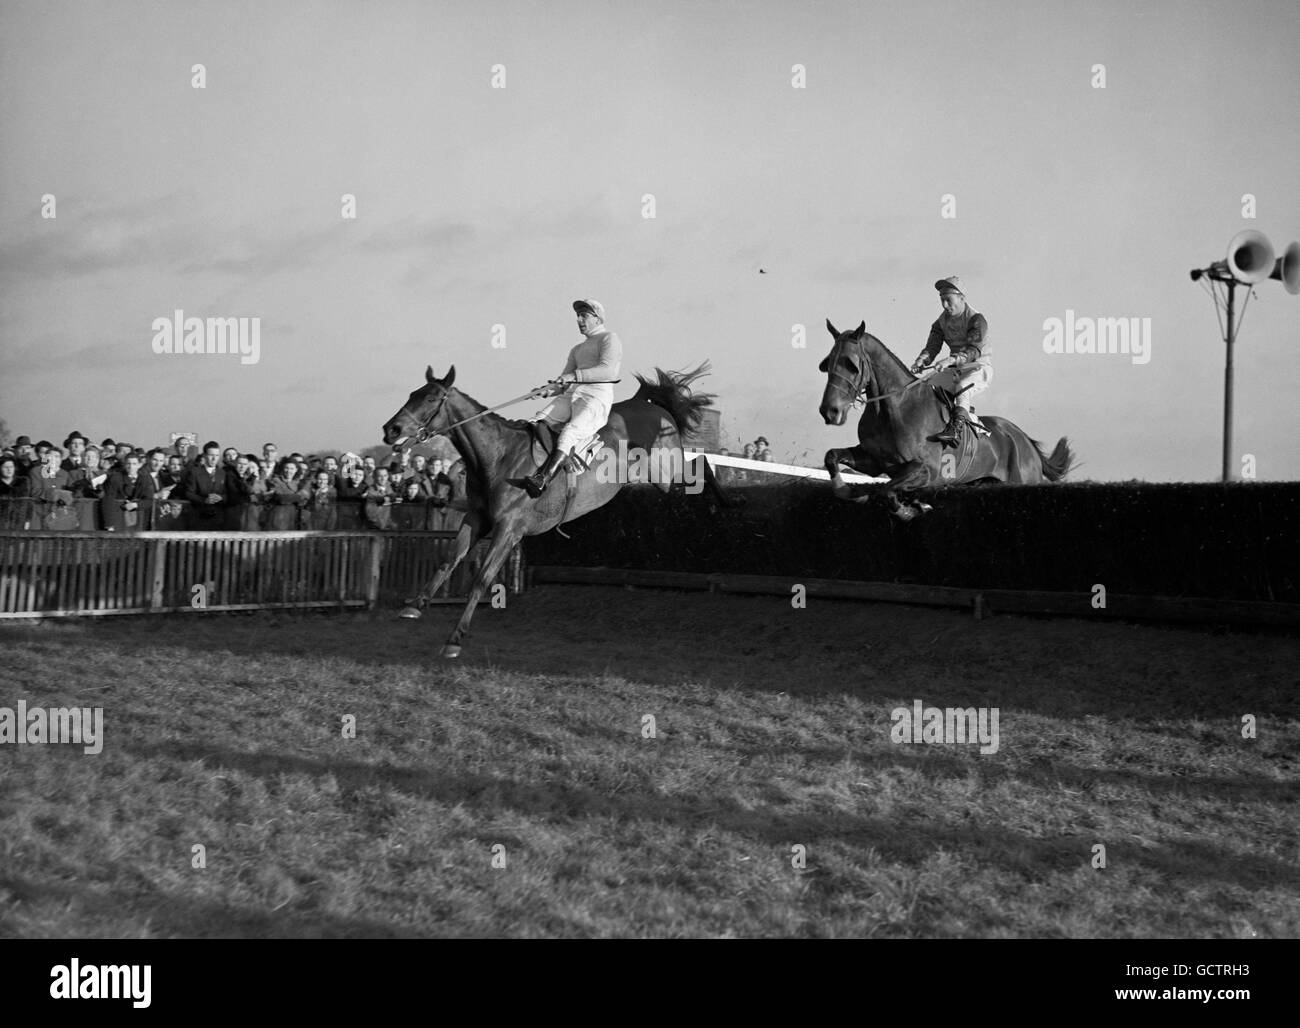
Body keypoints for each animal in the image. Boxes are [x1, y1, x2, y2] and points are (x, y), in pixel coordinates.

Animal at [379, 361, 738, 660]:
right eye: (412, 394)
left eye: (430, 398)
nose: (391, 430)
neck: (497, 456)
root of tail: (652, 406)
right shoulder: (477, 518)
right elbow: (448, 559)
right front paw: (416, 605)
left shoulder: (509, 529)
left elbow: (481, 580)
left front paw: (454, 639)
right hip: (659, 478)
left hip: (667, 470)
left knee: (702, 464)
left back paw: (725, 503)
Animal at [816, 317, 1071, 519]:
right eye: (827, 363)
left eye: (851, 365)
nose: (829, 411)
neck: (894, 409)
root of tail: (1026, 442)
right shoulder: (873, 461)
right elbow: (832, 456)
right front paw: (848, 491)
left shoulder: (927, 469)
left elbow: (885, 490)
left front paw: (911, 509)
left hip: (1022, 480)